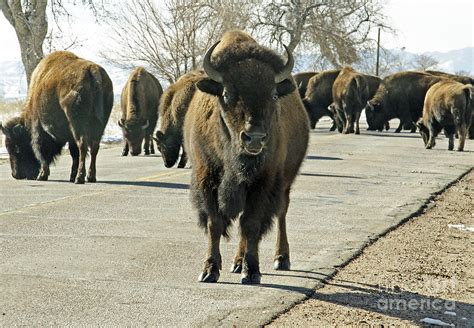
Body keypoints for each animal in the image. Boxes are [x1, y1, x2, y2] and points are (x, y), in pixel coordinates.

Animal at [0, 51, 113, 184]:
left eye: (16, 148)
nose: (16, 175)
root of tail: (93, 71)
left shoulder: (38, 128)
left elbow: (40, 151)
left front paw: (42, 176)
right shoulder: (70, 136)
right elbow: (73, 153)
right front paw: (71, 176)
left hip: (78, 124)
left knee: (82, 145)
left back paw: (79, 178)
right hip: (99, 125)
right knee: (94, 146)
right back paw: (90, 177)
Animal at [183, 30, 310, 284]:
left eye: (273, 94)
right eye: (226, 93)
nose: (255, 138)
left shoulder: (263, 183)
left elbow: (251, 225)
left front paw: (251, 272)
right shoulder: (207, 179)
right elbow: (215, 223)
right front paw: (209, 270)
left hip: (285, 183)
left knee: (281, 212)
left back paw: (281, 258)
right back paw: (236, 262)